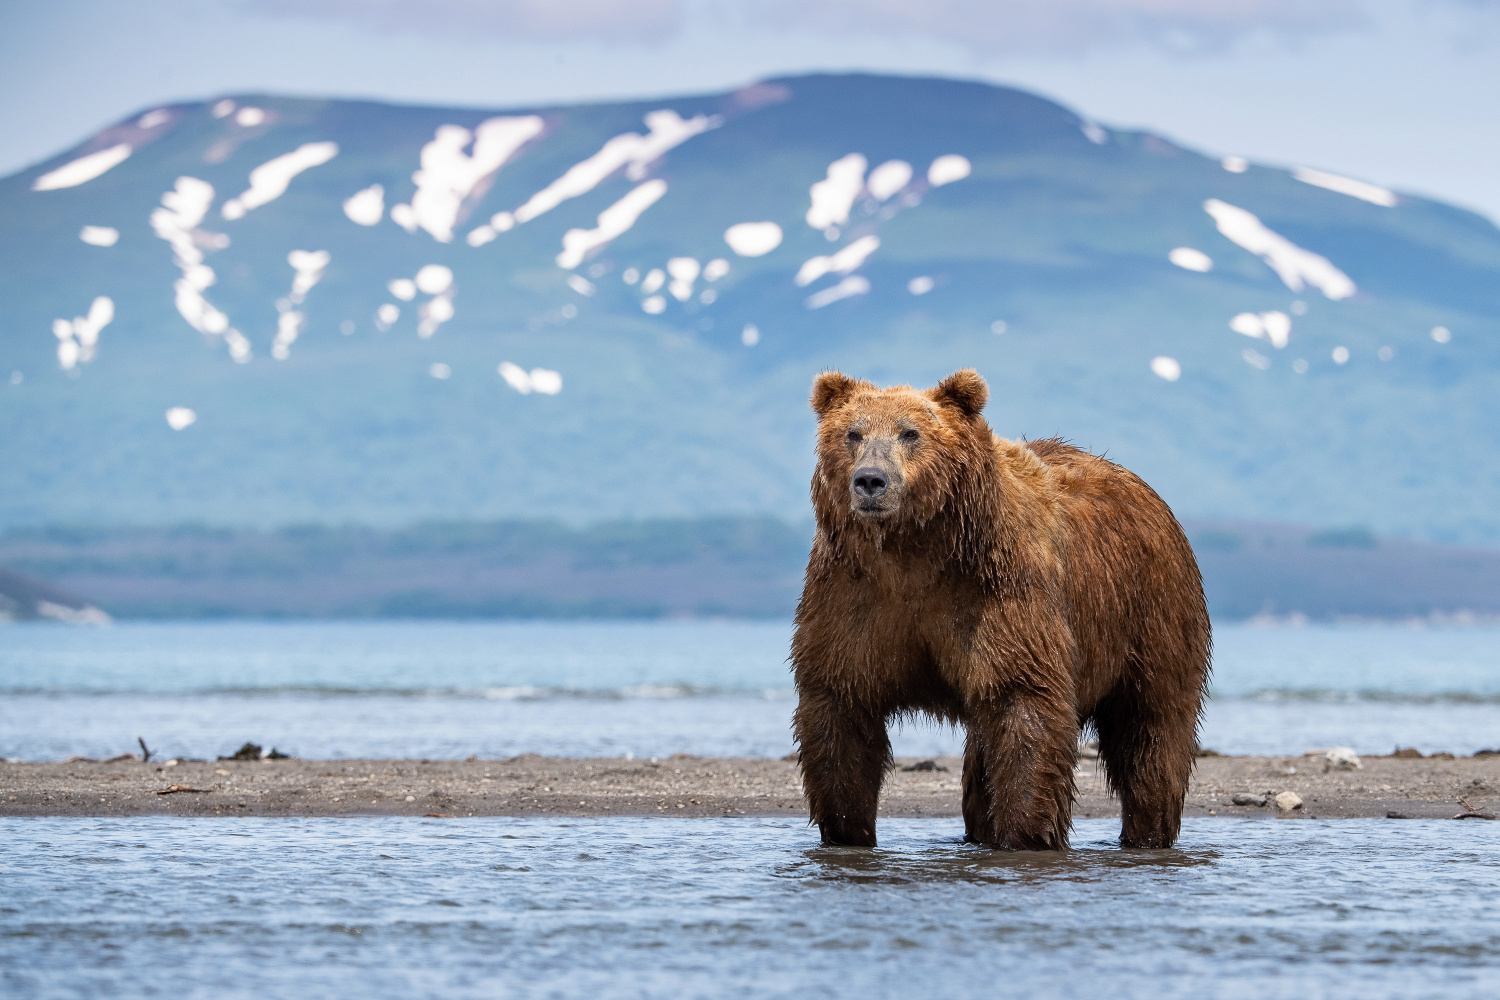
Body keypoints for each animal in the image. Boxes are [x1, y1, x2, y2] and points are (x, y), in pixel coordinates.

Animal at [792, 367, 1212, 851]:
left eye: (910, 432)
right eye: (853, 433)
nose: (870, 480)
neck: (914, 552)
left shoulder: (1000, 593)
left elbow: (1023, 704)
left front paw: (1025, 834)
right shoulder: (853, 595)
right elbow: (840, 707)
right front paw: (846, 830)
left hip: (1152, 611)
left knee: (1151, 729)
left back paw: (1147, 830)